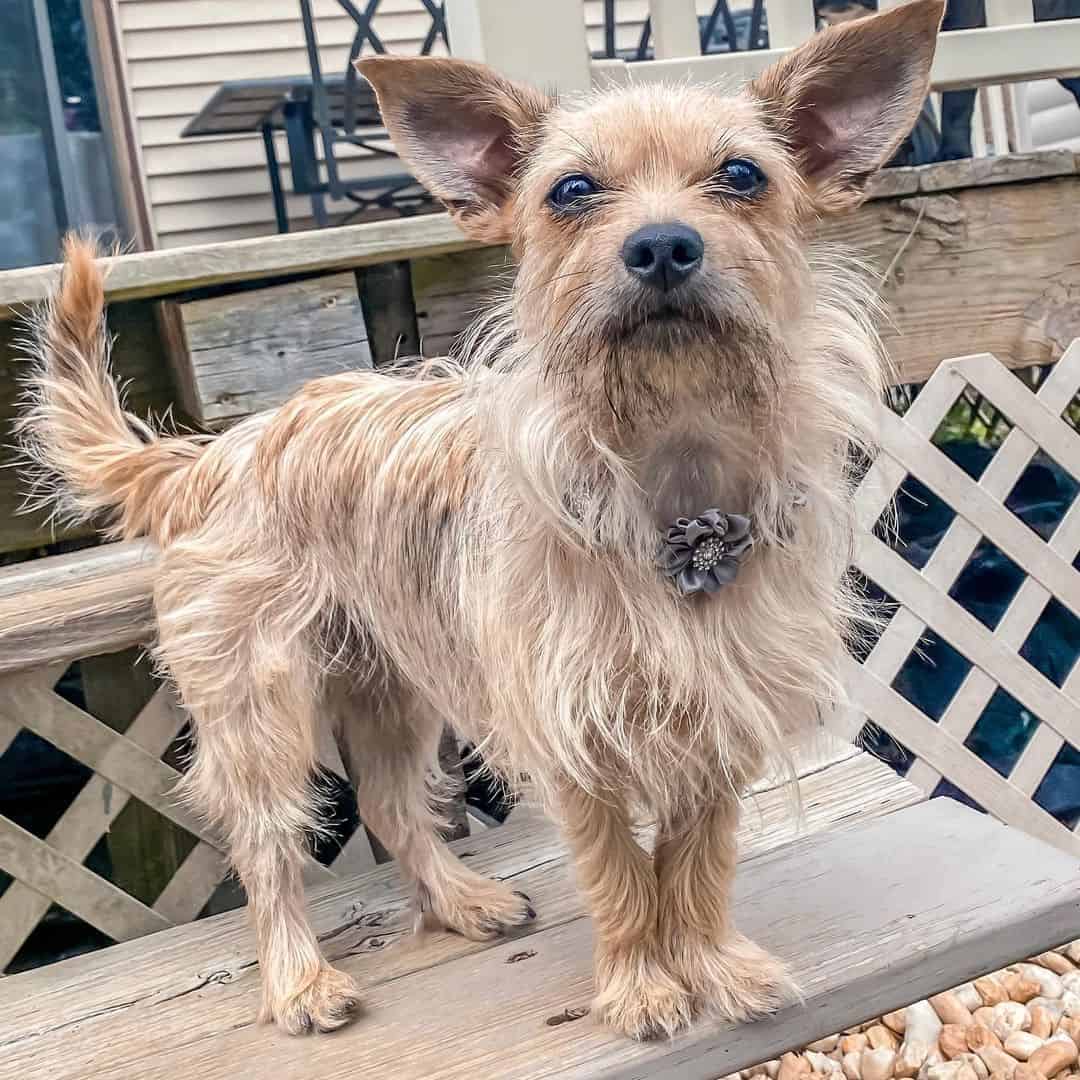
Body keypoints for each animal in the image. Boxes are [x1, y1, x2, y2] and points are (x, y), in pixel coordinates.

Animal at [21, 0, 941, 1045]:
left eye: (742, 176)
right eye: (573, 191)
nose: (663, 245)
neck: (667, 460)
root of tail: (208, 456)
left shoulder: (714, 721)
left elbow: (696, 866)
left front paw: (713, 965)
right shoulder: (570, 735)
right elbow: (624, 878)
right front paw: (642, 985)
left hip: (388, 692)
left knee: (389, 806)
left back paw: (460, 902)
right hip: (262, 710)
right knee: (266, 847)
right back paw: (298, 981)